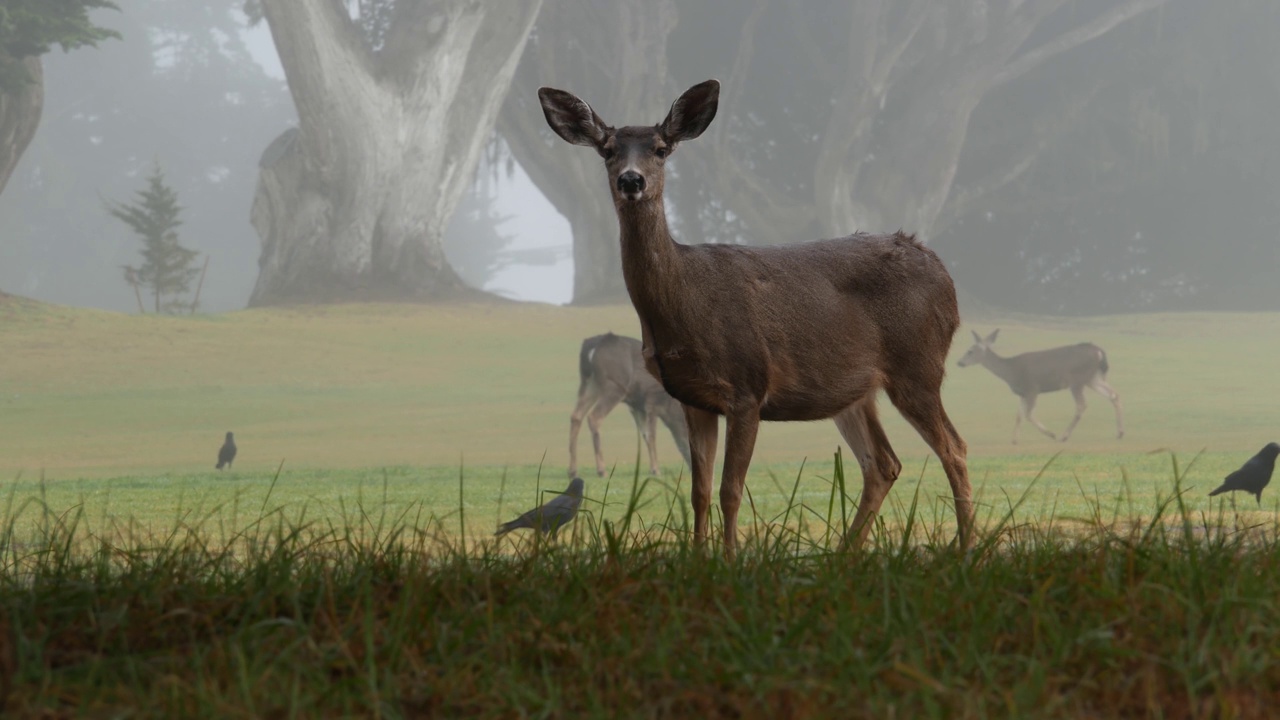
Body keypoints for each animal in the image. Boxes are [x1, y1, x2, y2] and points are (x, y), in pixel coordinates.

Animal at [570, 330, 691, 476]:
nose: (692, 467)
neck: (670, 408)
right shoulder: (651, 402)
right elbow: (652, 436)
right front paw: (656, 469)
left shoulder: (636, 406)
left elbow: (645, 435)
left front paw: (653, 468)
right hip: (614, 386)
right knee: (594, 417)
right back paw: (601, 470)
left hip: (589, 383)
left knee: (576, 416)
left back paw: (573, 471)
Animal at [957, 326, 1126, 440]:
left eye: (970, 351)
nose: (959, 362)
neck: (1010, 371)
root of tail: (1099, 352)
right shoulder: (1022, 393)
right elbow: (1019, 415)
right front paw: (1014, 440)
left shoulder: (1032, 388)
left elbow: (1028, 414)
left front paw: (1051, 434)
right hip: (1093, 378)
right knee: (1114, 394)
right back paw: (1120, 433)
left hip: (1078, 379)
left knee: (1081, 405)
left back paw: (1064, 436)